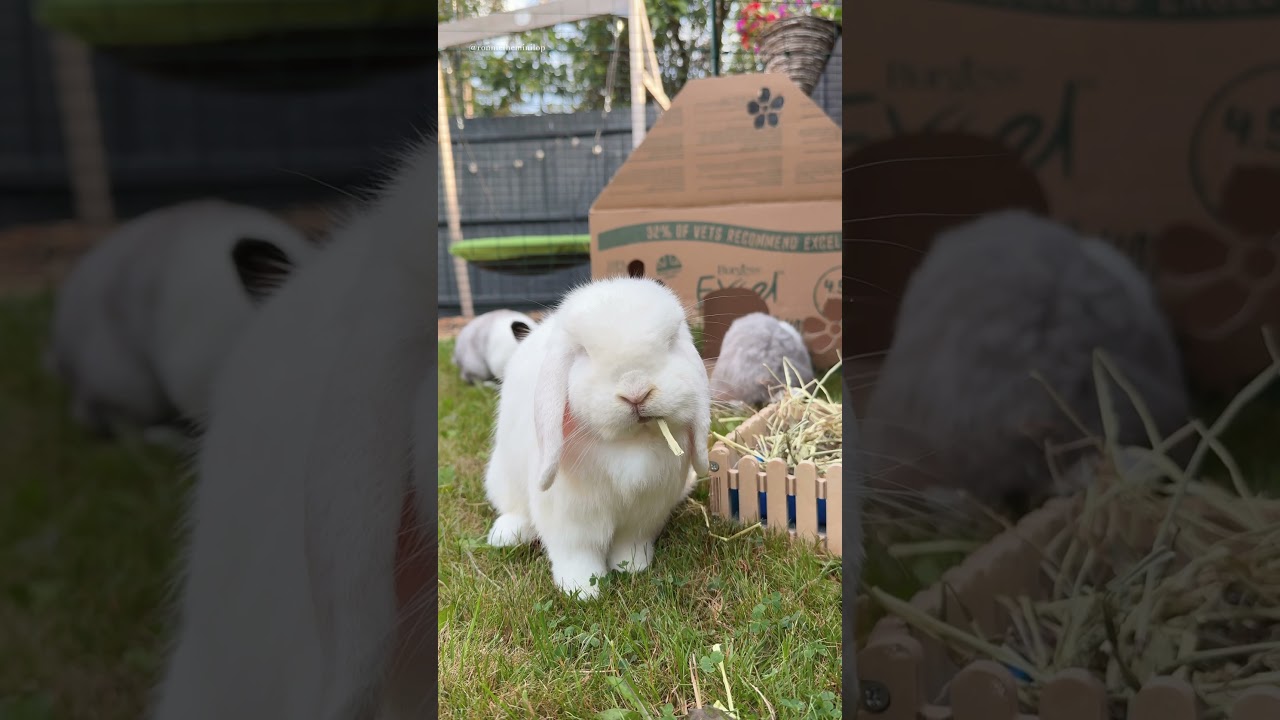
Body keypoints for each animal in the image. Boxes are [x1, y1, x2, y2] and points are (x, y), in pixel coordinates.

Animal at [483, 276, 712, 599]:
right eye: (583, 352)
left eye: (670, 343)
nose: (636, 391)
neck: (628, 444)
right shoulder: (570, 519)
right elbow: (577, 553)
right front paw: (582, 590)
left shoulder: (645, 513)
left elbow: (631, 543)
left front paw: (633, 568)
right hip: (503, 478)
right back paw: (506, 535)